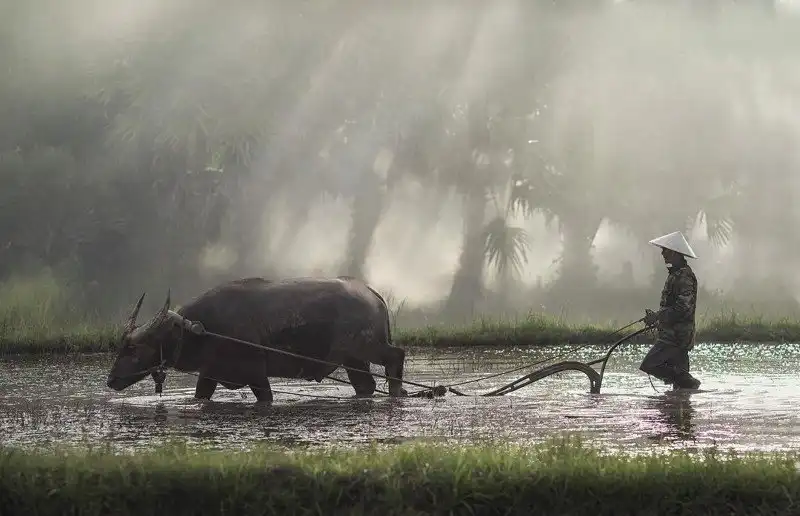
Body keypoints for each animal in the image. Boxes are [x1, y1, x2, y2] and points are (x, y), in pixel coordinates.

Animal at [105, 276, 408, 402]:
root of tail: (372, 294)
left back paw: (397, 391)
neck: (204, 329)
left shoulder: (256, 375)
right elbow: (199, 396)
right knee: (366, 386)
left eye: (134, 349)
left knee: (397, 354)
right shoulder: (209, 374)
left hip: (367, 347)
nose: (110, 380)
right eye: (121, 347)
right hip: (353, 360)